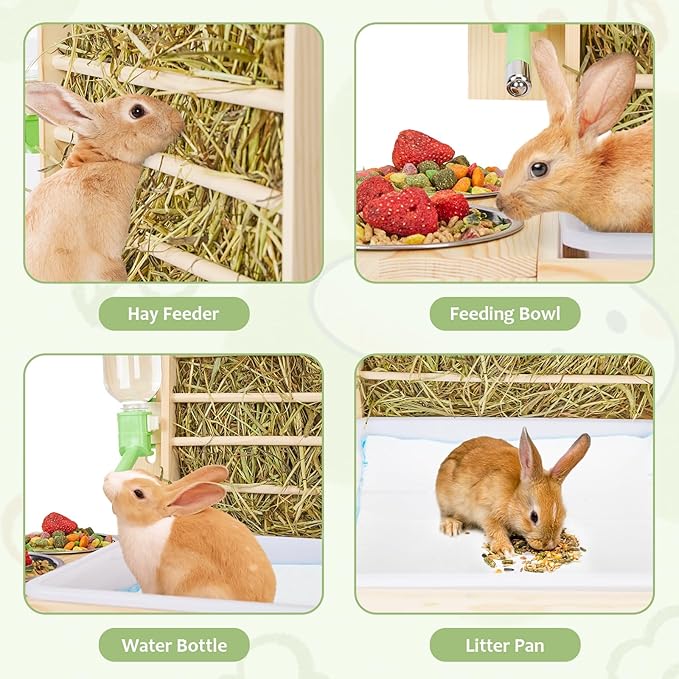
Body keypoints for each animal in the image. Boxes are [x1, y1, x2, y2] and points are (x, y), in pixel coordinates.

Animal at [436, 428, 590, 555]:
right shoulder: (486, 511)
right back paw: (451, 526)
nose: (548, 545)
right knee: (445, 514)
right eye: (534, 517)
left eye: (564, 513)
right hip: (446, 500)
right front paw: (505, 549)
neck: (512, 497)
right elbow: (495, 530)